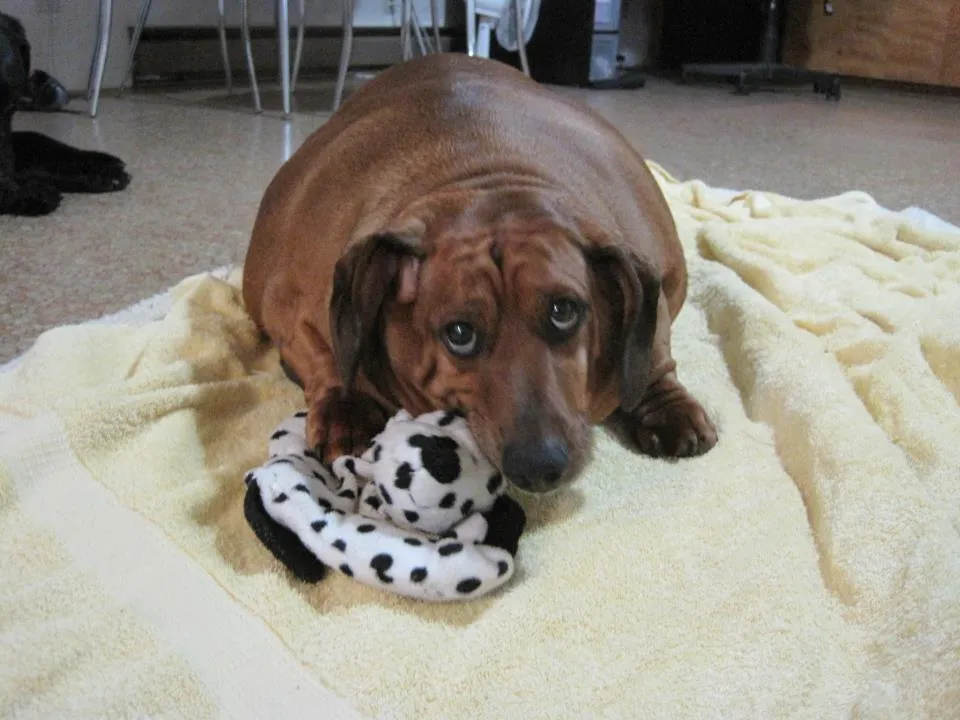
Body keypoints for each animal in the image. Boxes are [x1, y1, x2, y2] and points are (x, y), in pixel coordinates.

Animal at [244, 54, 716, 496]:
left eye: (564, 311)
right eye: (459, 334)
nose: (538, 466)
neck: (482, 174)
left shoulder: (660, 283)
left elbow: (656, 350)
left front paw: (662, 402)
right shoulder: (290, 306)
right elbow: (325, 356)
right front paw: (347, 408)